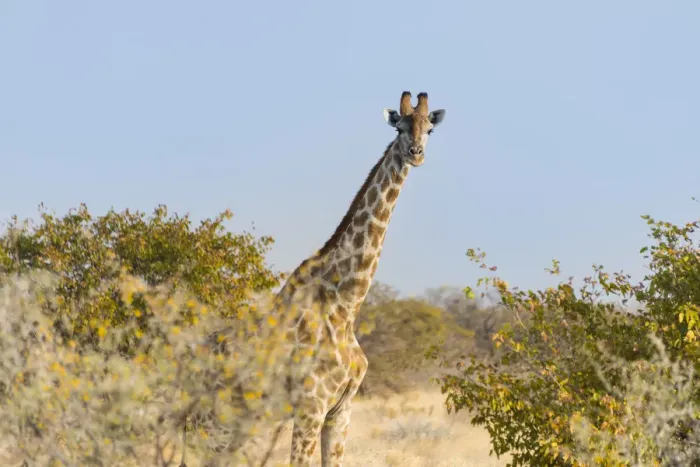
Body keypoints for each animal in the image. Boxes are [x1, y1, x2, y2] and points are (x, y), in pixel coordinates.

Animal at [273, 91, 447, 466]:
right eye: (399, 127)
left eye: (429, 129)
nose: (416, 153)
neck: (345, 306)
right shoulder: (311, 406)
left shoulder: (341, 410)